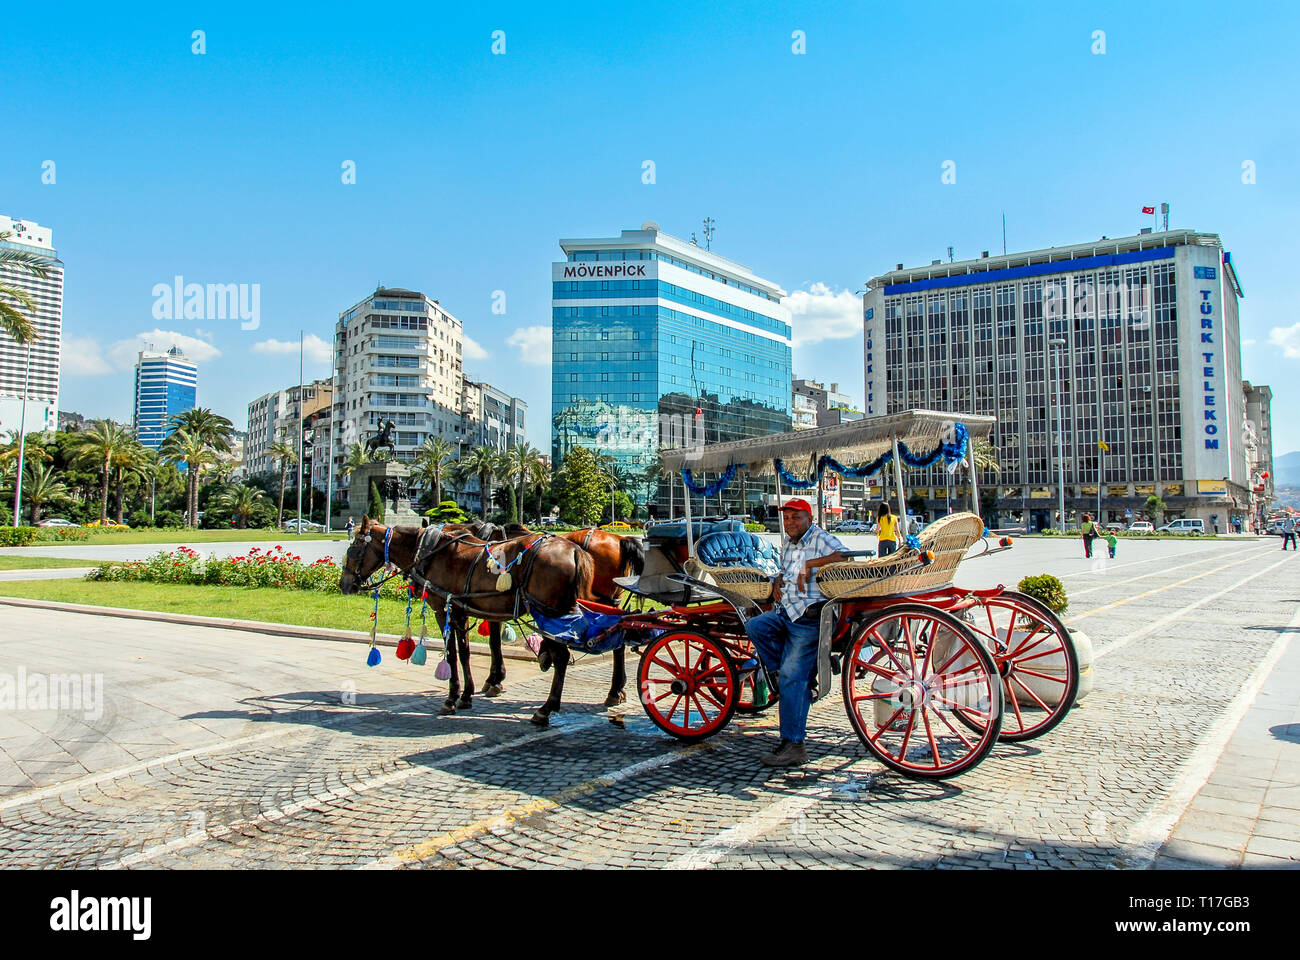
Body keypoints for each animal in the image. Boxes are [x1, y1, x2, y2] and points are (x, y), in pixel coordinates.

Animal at [340, 515, 595, 718]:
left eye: (353, 551)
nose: (345, 584)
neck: (430, 553)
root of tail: (574, 550)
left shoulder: (444, 610)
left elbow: (453, 654)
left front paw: (453, 698)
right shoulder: (463, 611)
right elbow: (466, 652)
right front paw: (469, 693)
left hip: (550, 613)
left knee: (561, 657)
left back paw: (546, 708)